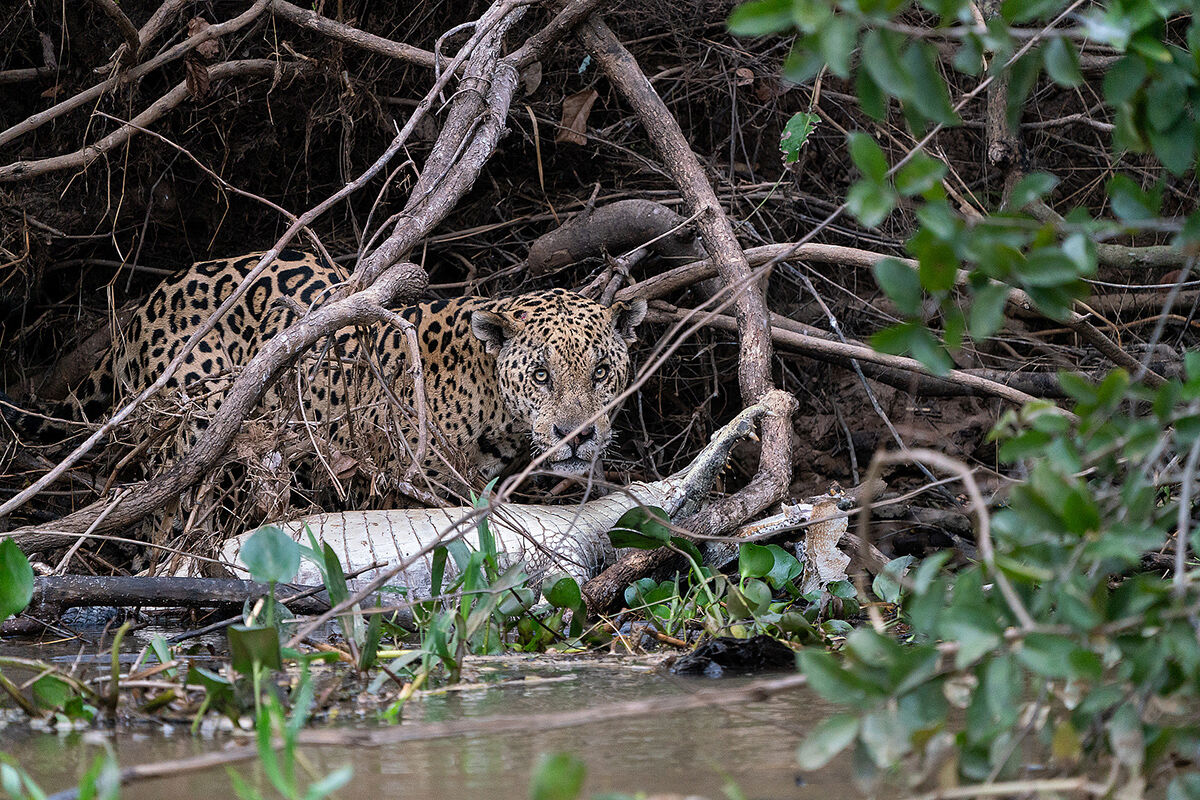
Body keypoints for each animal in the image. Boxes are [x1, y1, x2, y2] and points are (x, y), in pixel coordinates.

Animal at [21, 249, 648, 500]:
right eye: (541, 375)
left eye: (602, 372)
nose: (576, 436)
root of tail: (143, 305)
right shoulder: (410, 489)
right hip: (193, 420)